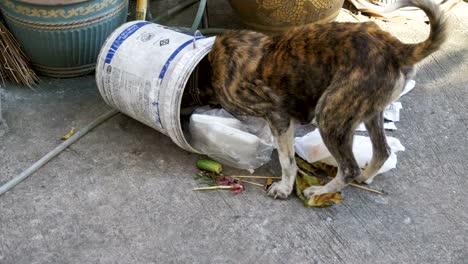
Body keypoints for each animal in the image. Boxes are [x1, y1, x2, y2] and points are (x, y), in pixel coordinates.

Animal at [207, 0, 448, 198]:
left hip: (330, 115)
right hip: (369, 111)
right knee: (382, 151)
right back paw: (365, 177)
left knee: (350, 168)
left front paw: (284, 188)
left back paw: (320, 192)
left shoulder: (278, 117)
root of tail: (396, 49)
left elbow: (287, 160)